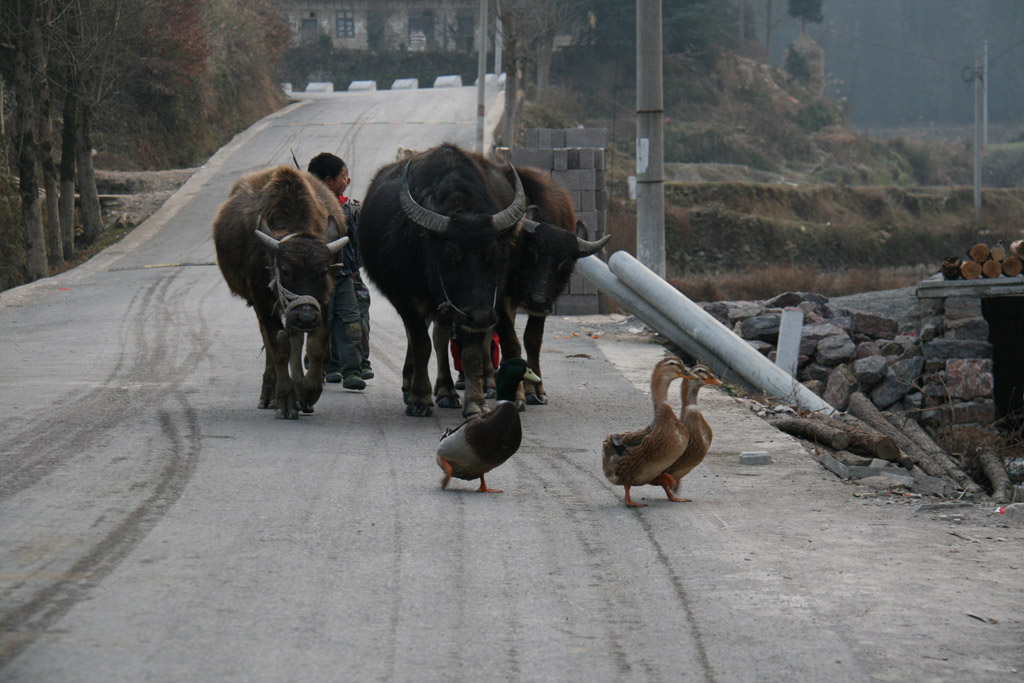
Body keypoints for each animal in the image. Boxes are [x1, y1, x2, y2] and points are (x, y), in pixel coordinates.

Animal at [212, 166, 348, 421]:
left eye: (322, 271)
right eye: (284, 270)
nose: (306, 318)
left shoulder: (322, 301)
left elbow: (316, 343)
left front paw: (308, 391)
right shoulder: (262, 300)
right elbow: (278, 348)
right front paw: (285, 400)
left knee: (295, 336)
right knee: (270, 339)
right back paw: (270, 394)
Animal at [358, 143, 524, 417]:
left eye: (493, 253)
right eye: (450, 254)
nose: (481, 316)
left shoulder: (479, 306)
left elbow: (470, 353)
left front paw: (475, 403)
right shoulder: (408, 301)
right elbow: (421, 345)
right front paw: (420, 398)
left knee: (442, 335)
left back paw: (446, 391)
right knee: (423, 338)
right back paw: (414, 385)